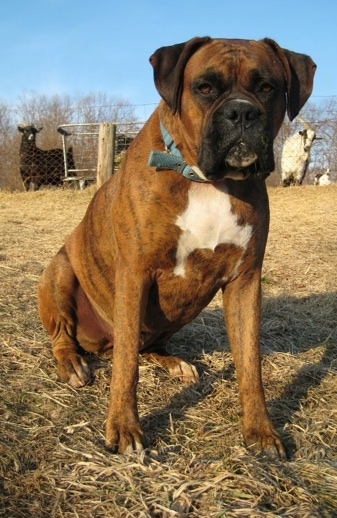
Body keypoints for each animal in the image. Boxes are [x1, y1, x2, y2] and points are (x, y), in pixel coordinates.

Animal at [37, 37, 316, 460]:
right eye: (205, 87)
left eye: (268, 87)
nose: (241, 112)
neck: (205, 180)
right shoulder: (135, 274)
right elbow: (125, 368)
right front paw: (124, 428)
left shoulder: (245, 281)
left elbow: (250, 363)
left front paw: (261, 431)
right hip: (59, 271)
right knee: (75, 338)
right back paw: (71, 362)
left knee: (139, 344)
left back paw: (172, 363)